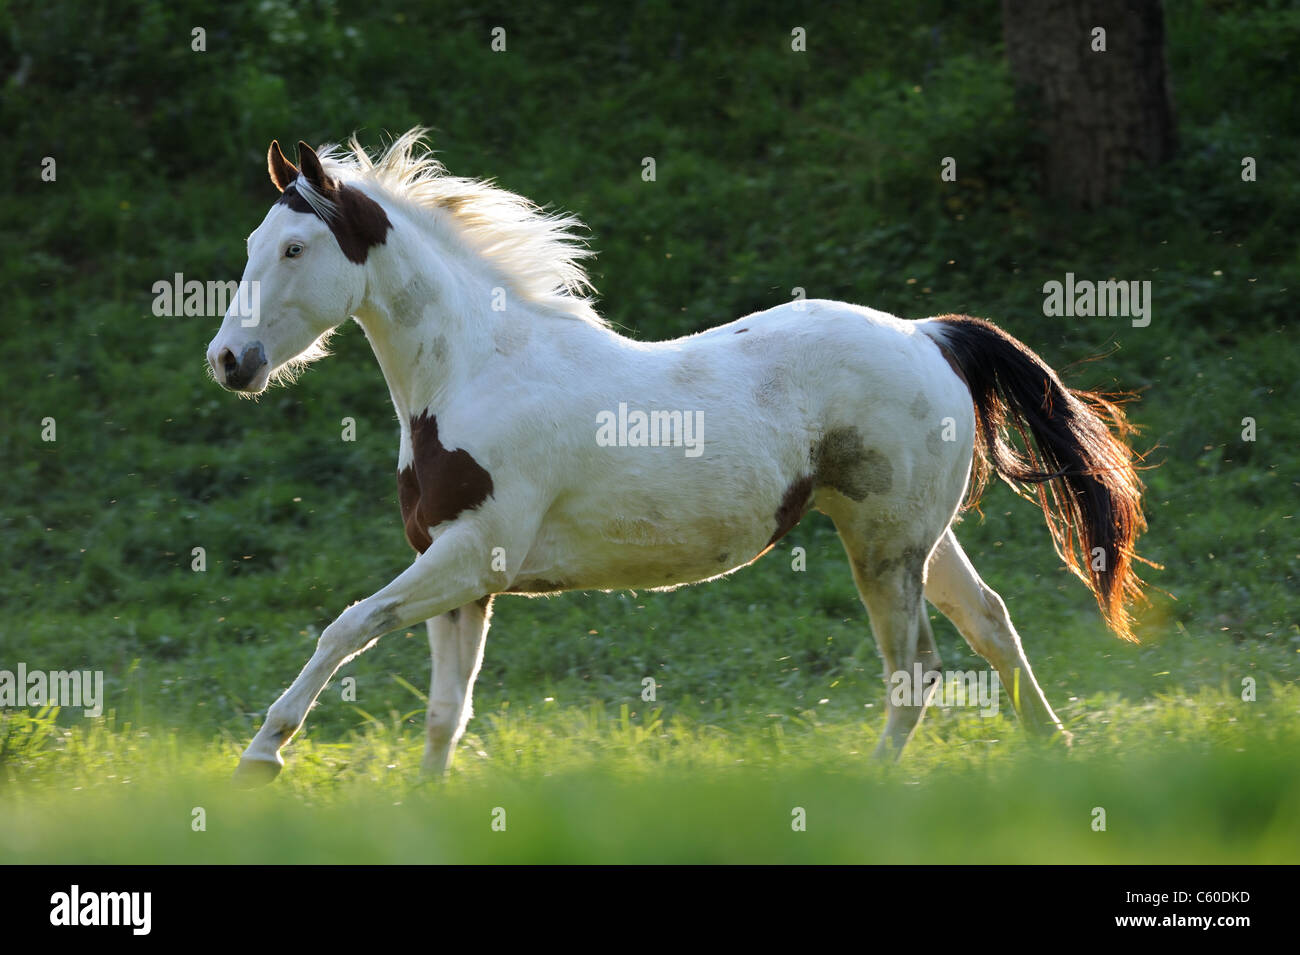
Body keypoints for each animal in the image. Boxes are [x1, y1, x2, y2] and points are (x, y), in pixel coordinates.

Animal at [206, 130, 1148, 785]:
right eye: (251, 243)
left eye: (295, 248)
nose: (229, 362)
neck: (477, 370)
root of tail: (930, 335)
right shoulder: (461, 577)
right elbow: (445, 711)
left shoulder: (470, 556)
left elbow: (346, 626)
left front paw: (262, 756)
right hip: (913, 537)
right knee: (990, 621)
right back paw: (1055, 745)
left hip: (883, 550)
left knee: (915, 667)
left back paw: (874, 784)